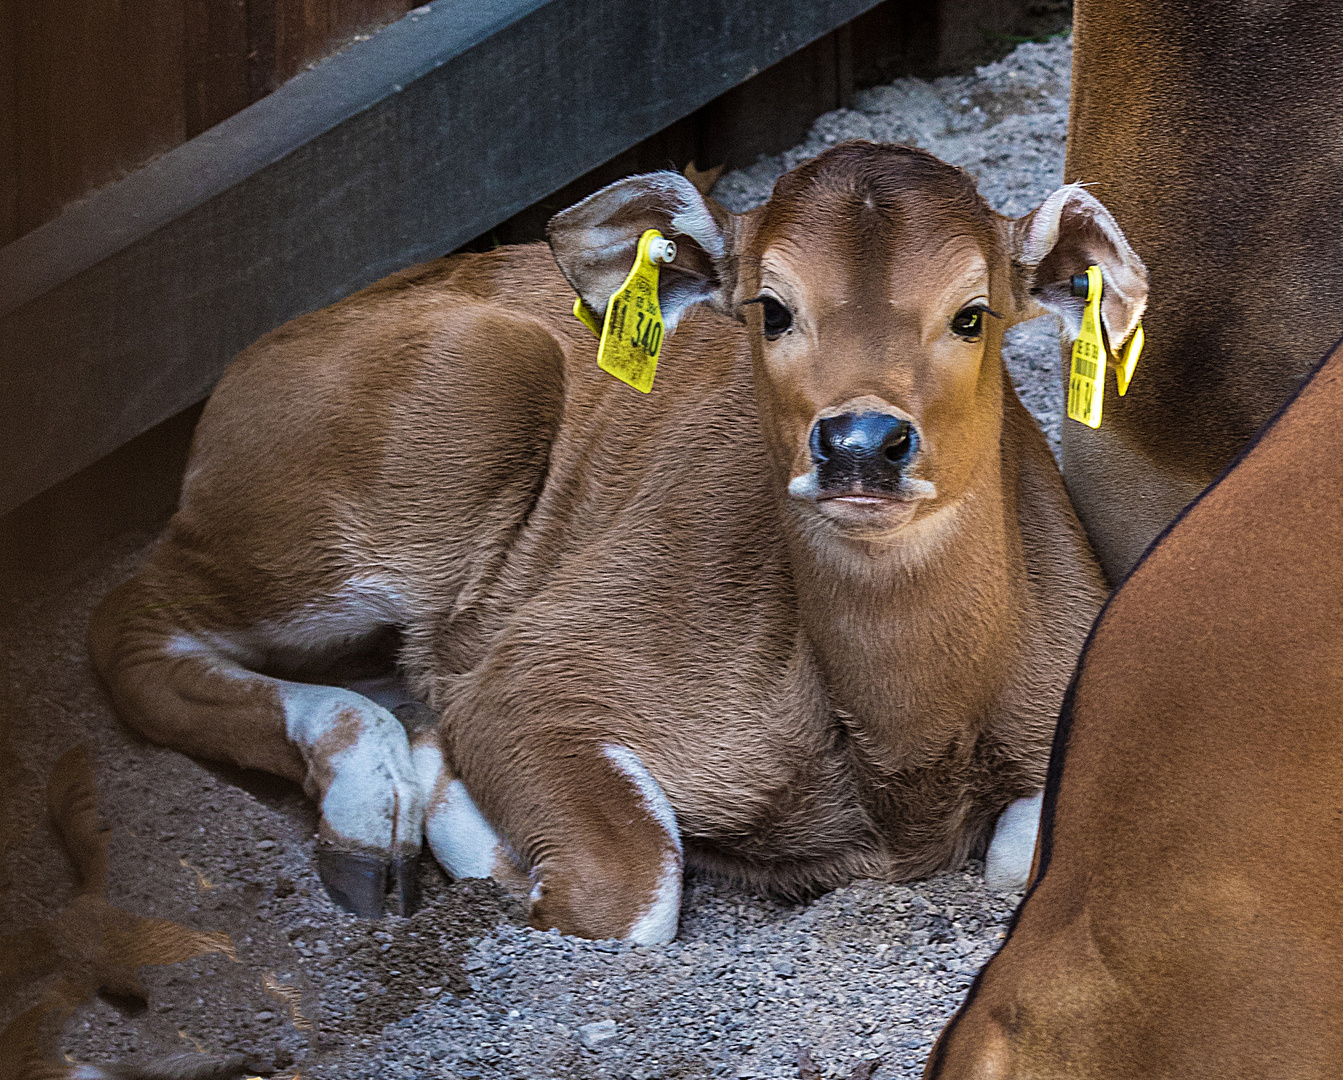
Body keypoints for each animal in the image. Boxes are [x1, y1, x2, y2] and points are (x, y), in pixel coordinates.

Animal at [86, 143, 1133, 934]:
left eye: (972, 312)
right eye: (770, 306)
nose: (860, 445)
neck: (898, 752)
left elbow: (1021, 861)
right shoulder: (539, 667)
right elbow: (627, 892)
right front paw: (465, 816)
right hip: (428, 435)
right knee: (130, 618)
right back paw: (365, 819)